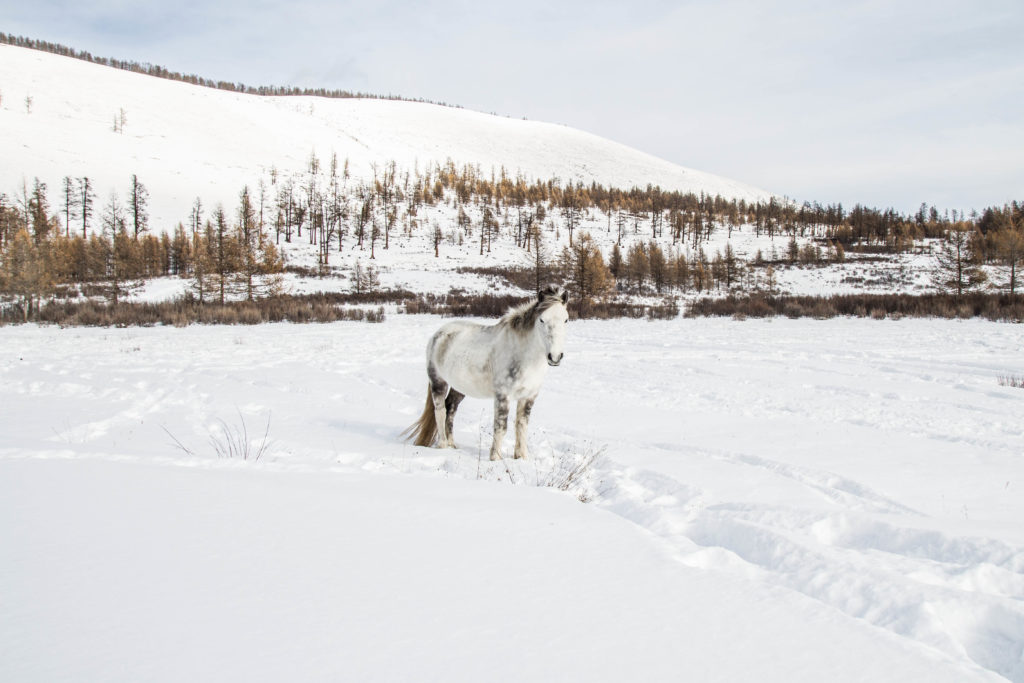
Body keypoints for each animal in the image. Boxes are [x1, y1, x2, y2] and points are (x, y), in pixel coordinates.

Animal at [403, 282, 569, 458]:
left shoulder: (529, 397)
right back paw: (442, 446)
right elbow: (501, 427)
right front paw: (495, 458)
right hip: (438, 382)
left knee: (451, 409)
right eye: (542, 320)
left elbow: (521, 426)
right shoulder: (503, 395)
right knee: (440, 411)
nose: (555, 356)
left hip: (459, 387)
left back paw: (452, 445)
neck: (524, 356)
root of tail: (438, 334)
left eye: (566, 319)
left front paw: (521, 457)